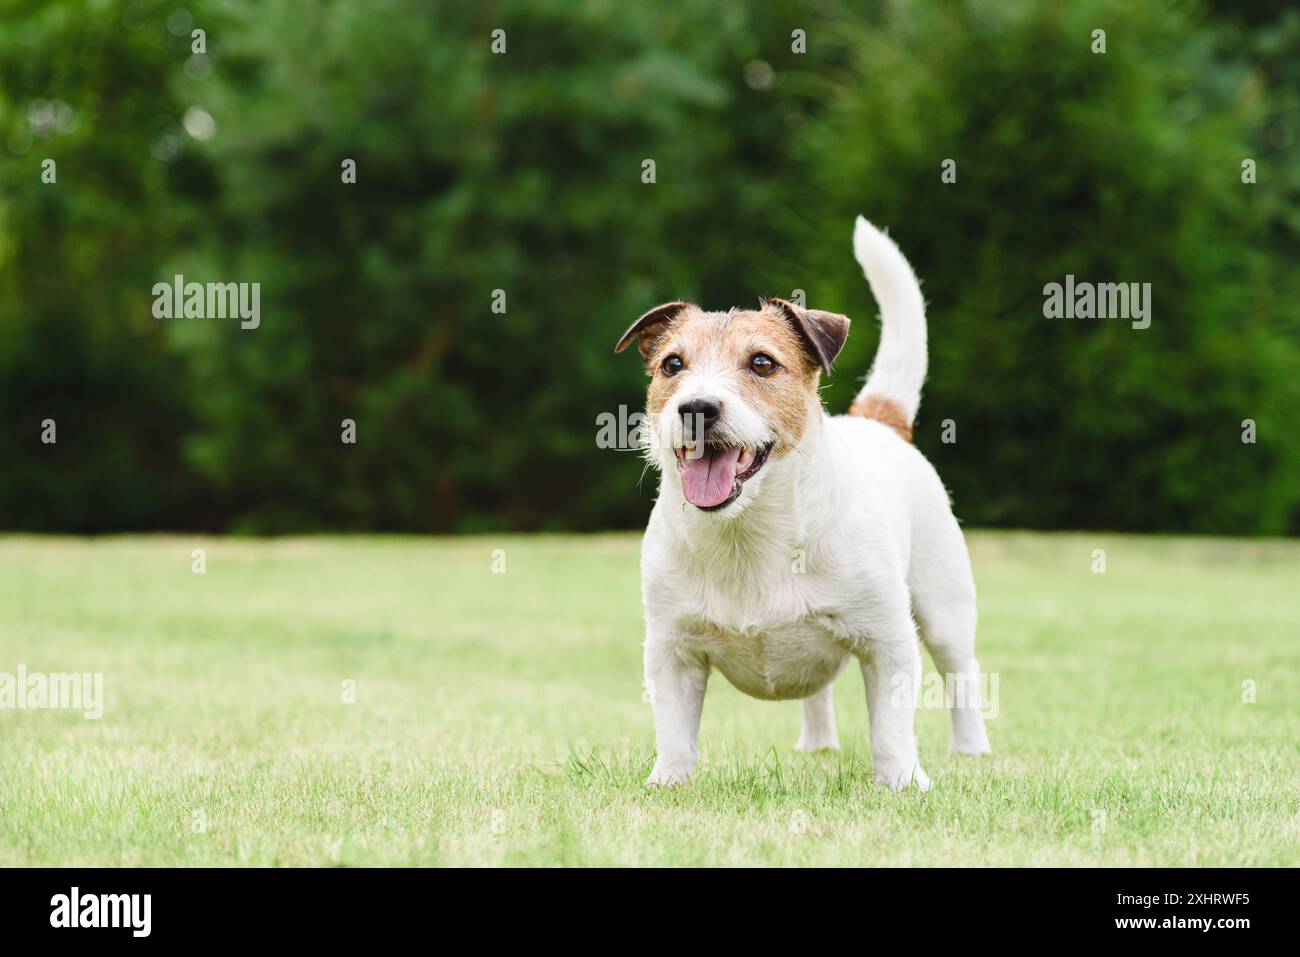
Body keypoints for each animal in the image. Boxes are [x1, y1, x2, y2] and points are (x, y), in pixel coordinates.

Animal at [613, 218, 987, 790]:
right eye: (671, 364)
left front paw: (902, 782)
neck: (748, 533)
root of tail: (877, 420)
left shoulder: (888, 638)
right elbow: (674, 728)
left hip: (945, 608)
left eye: (762, 363)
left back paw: (971, 751)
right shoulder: (671, 648)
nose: (696, 407)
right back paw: (818, 745)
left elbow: (891, 727)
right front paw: (669, 781)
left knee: (962, 676)